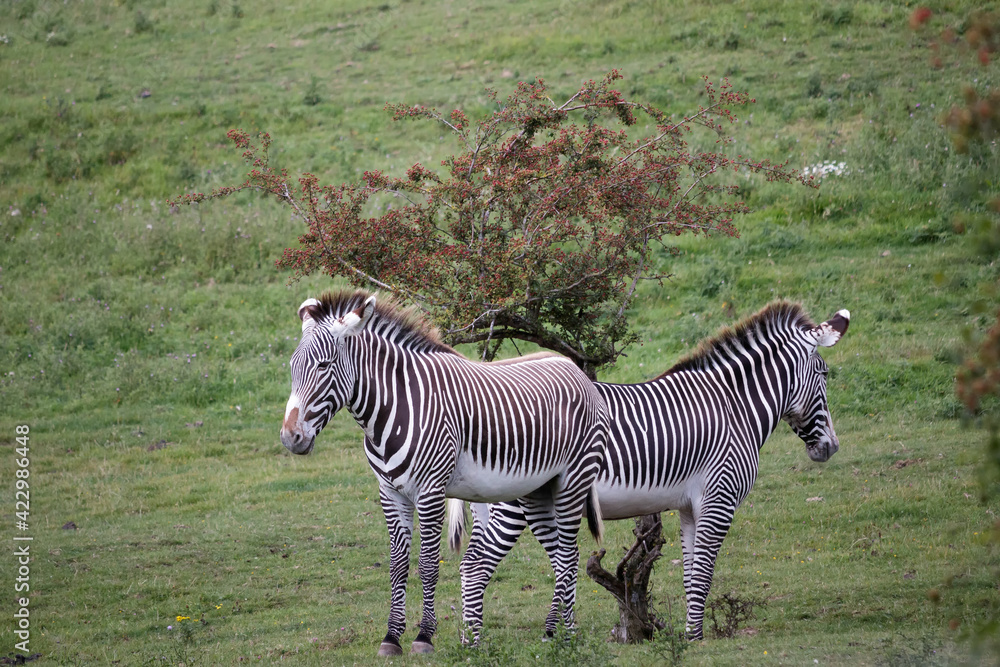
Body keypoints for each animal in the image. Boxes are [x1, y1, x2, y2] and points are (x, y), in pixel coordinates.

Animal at [278, 289, 609, 656]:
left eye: (323, 366)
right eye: (292, 367)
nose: (290, 438)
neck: (393, 409)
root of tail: (573, 367)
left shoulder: (431, 491)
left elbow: (427, 564)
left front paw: (424, 636)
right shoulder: (390, 493)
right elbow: (397, 565)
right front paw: (391, 637)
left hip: (572, 481)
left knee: (568, 554)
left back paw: (565, 634)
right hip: (538, 491)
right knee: (561, 554)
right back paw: (559, 631)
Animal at [449, 302, 850, 640]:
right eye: (825, 373)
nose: (831, 447)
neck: (732, 407)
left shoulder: (690, 506)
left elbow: (691, 572)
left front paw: (690, 635)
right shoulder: (719, 498)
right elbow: (704, 570)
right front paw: (697, 639)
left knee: (473, 566)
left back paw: (477, 640)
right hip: (511, 501)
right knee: (476, 567)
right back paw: (480, 644)